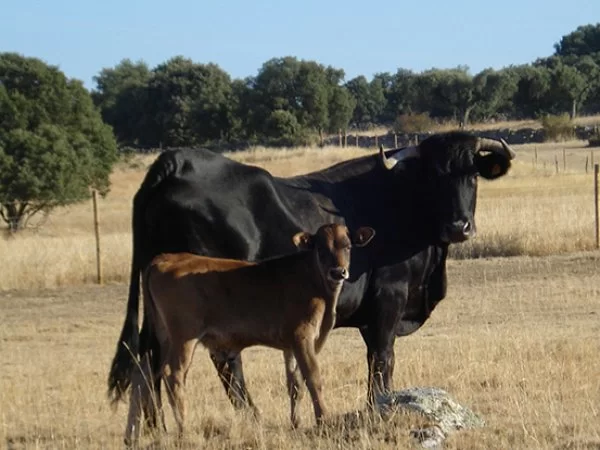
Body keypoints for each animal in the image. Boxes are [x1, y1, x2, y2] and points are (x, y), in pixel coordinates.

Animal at [125, 223, 376, 442]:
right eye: (321, 249)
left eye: (347, 246)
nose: (338, 272)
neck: (315, 281)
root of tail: (165, 258)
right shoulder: (303, 336)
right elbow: (313, 378)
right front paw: (322, 420)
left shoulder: (290, 345)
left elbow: (295, 383)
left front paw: (296, 423)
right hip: (184, 337)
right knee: (173, 374)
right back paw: (183, 429)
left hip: (161, 337)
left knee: (142, 373)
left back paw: (132, 435)